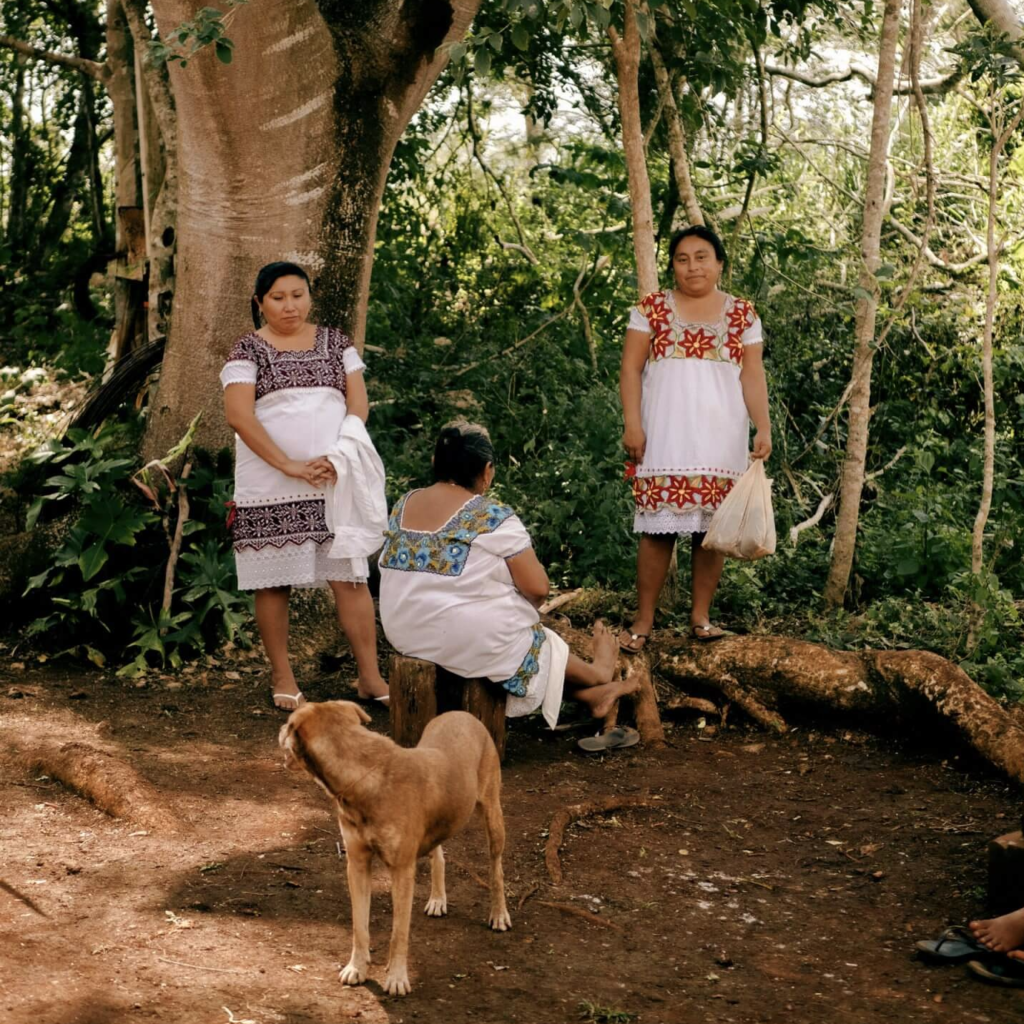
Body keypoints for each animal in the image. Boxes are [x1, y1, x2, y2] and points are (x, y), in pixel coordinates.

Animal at [278, 700, 509, 995]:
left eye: (288, 725)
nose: (279, 729)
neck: (364, 775)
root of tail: (463, 713)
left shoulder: (401, 871)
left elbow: (398, 934)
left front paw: (397, 978)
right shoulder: (357, 864)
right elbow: (359, 927)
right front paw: (356, 968)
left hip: (492, 814)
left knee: (496, 868)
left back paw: (499, 914)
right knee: (438, 855)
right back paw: (437, 899)